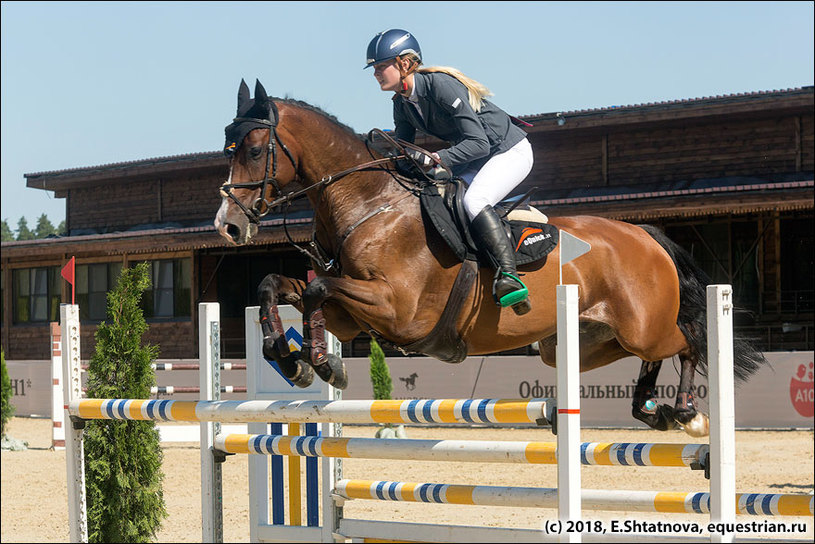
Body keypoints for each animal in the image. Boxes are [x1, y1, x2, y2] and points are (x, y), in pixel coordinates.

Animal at [215, 79, 764, 438]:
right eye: (227, 148)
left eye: (256, 149)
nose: (229, 225)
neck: (369, 204)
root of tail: (644, 235)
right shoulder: (353, 318)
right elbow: (275, 285)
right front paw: (290, 356)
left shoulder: (397, 311)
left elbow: (314, 288)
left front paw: (323, 366)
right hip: (583, 342)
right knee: (650, 354)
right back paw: (650, 408)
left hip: (642, 325)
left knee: (686, 341)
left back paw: (687, 412)